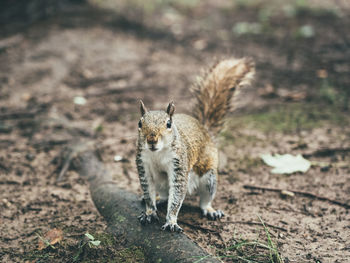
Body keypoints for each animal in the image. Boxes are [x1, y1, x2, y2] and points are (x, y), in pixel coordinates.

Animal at [136, 57, 254, 233]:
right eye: (139, 123)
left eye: (169, 124)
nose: (151, 140)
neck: (158, 153)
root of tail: (204, 130)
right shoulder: (144, 165)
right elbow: (148, 191)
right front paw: (149, 212)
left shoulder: (179, 165)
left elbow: (176, 196)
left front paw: (171, 221)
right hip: (162, 182)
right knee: (164, 195)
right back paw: (158, 199)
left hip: (208, 177)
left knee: (204, 200)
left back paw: (210, 210)